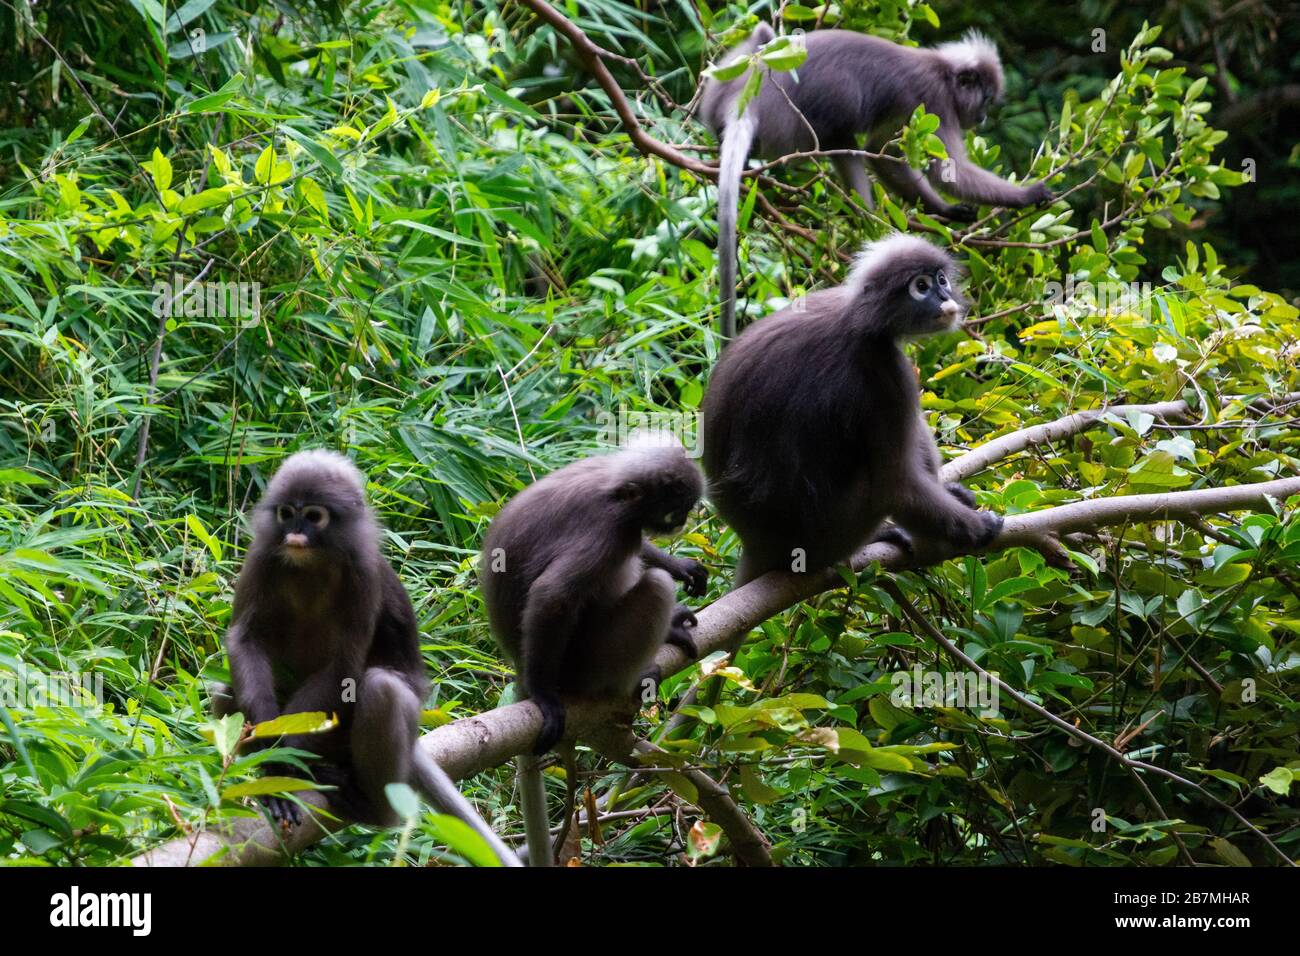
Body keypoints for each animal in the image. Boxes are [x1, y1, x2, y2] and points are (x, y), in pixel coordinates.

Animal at [215, 447, 520, 868]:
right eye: (287, 513)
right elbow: (245, 639)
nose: (294, 534)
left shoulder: (363, 576)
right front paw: (274, 764)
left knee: (382, 688)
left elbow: (344, 667)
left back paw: (372, 806)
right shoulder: (262, 557)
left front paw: (282, 755)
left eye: (314, 516)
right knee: (224, 692)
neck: (313, 563)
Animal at [478, 434, 707, 868]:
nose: (680, 524)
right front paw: (545, 699)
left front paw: (680, 564)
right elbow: (553, 597)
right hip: (588, 661)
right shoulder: (610, 531)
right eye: (675, 510)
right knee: (653, 587)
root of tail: (517, 663)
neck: (614, 486)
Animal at [702, 24, 1055, 338]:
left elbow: (879, 151)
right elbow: (948, 174)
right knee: (842, 130)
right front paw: (1028, 194)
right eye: (984, 101)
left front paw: (943, 210)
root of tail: (745, 98)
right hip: (794, 124)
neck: (942, 71)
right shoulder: (936, 101)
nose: (980, 119)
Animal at [702, 235, 1003, 587]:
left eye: (941, 280)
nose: (944, 296)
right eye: (921, 286)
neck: (859, 318)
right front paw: (980, 528)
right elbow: (896, 487)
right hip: (830, 536)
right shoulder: (885, 373)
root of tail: (756, 543)